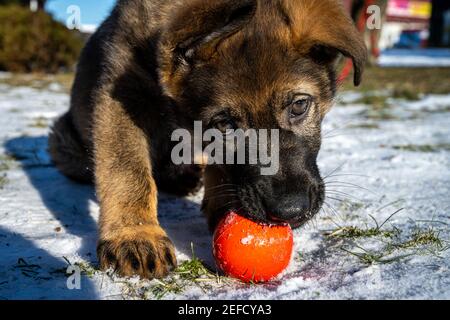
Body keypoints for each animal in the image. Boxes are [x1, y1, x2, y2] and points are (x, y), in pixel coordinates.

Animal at [48, 0, 366, 278]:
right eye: (225, 124)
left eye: (299, 106)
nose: (290, 210)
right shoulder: (120, 97)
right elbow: (127, 169)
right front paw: (135, 236)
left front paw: (220, 204)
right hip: (64, 142)